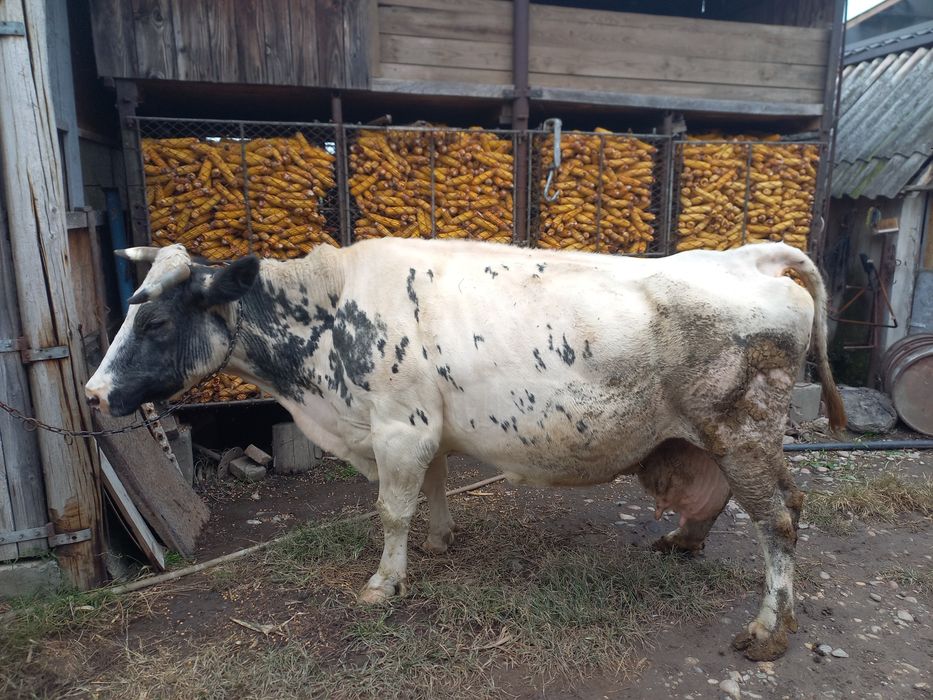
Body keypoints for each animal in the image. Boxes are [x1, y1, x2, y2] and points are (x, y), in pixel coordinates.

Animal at [86, 238, 844, 661]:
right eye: (130, 310)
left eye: (155, 322)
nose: (93, 392)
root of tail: (745, 258)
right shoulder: (425, 426)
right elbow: (435, 485)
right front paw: (438, 539)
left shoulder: (400, 425)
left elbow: (391, 509)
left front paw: (383, 582)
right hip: (717, 438)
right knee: (736, 499)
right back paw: (683, 543)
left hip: (744, 430)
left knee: (778, 519)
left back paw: (768, 629)